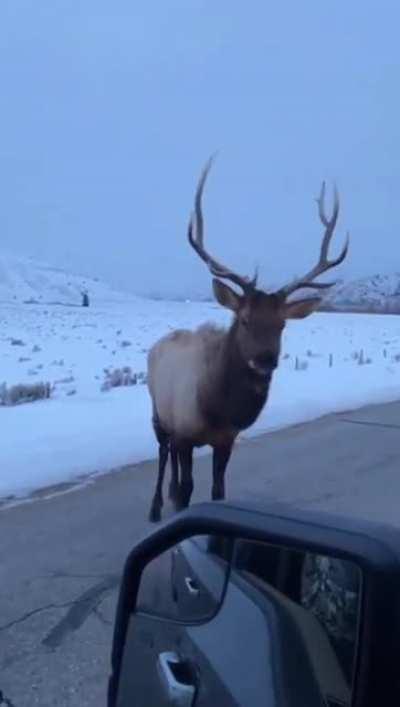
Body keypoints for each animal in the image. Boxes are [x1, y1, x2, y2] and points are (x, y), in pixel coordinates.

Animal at [147, 156, 349, 522]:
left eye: (282, 325)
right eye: (244, 319)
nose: (266, 359)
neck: (215, 407)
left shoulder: (226, 439)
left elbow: (218, 491)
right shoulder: (185, 432)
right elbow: (187, 490)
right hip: (158, 411)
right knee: (162, 452)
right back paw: (156, 506)